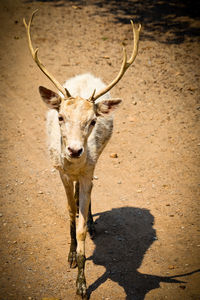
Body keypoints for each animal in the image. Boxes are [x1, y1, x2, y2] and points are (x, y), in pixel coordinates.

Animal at [23, 10, 141, 298]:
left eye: (93, 121)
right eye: (60, 117)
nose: (75, 150)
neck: (74, 167)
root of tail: (86, 74)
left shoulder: (88, 170)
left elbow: (82, 228)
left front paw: (81, 281)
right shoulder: (61, 172)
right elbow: (68, 211)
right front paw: (70, 255)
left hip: (97, 159)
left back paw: (91, 219)